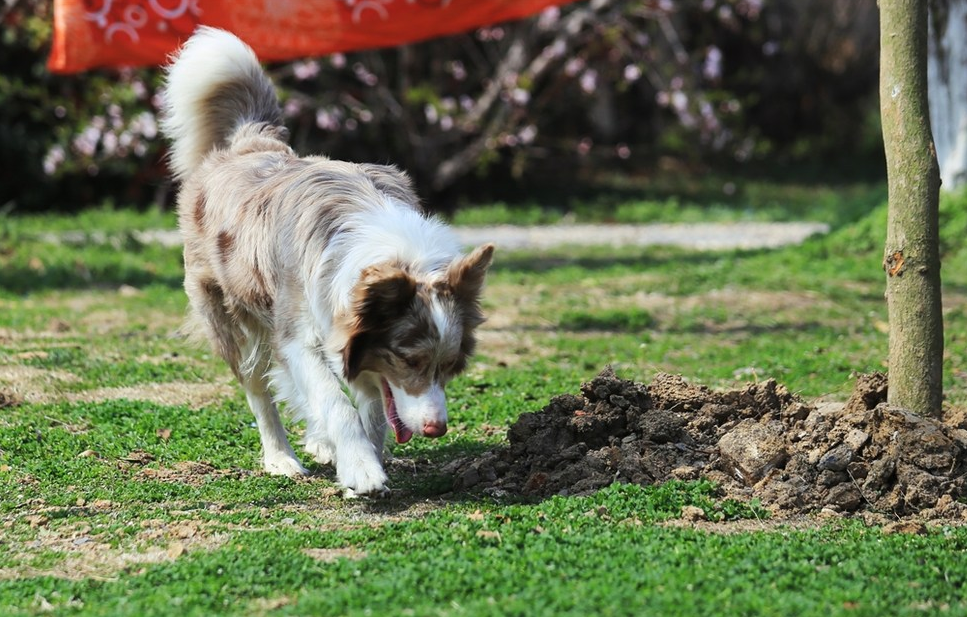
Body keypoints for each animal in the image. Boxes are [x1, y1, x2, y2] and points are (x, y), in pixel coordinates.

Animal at [162, 27, 496, 496]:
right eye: (410, 360)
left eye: (448, 365)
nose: (436, 429)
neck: (397, 251)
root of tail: (251, 142)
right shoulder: (297, 331)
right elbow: (334, 400)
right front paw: (362, 470)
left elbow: (371, 409)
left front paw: (362, 459)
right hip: (228, 313)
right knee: (257, 387)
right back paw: (281, 458)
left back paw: (321, 443)